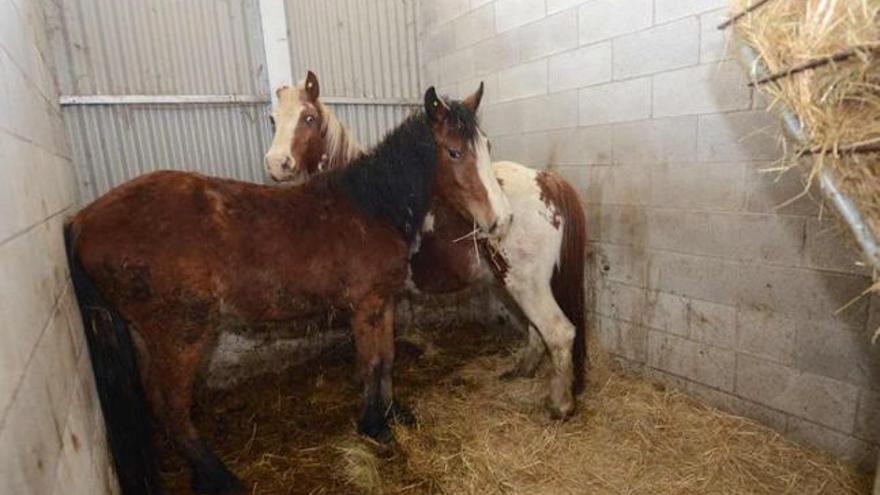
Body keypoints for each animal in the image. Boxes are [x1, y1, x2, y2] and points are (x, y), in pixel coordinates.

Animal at [63, 86, 508, 495]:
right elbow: (370, 363)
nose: (500, 219)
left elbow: (386, 359)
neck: (371, 206)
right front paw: (373, 426)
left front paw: (392, 416)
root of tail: (83, 219)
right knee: (169, 405)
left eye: (487, 146)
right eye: (453, 152)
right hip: (181, 335)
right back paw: (221, 477)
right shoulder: (366, 305)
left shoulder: (382, 302)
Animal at [264, 71, 588, 422]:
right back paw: (521, 371)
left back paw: (559, 405)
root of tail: (546, 180)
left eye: (308, 118)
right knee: (535, 331)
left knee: (558, 333)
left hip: (527, 285)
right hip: (512, 285)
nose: (277, 164)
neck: (369, 198)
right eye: (273, 119)